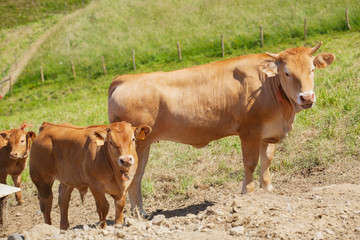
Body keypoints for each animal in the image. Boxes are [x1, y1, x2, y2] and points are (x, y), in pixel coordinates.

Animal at [107, 41, 334, 218]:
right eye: (287, 73)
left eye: (312, 70)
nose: (307, 97)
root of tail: (125, 78)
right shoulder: (249, 132)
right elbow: (250, 163)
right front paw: (248, 192)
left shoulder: (268, 132)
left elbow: (267, 160)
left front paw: (268, 189)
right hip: (137, 146)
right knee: (133, 176)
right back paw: (138, 215)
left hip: (143, 145)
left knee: (138, 176)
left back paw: (140, 213)